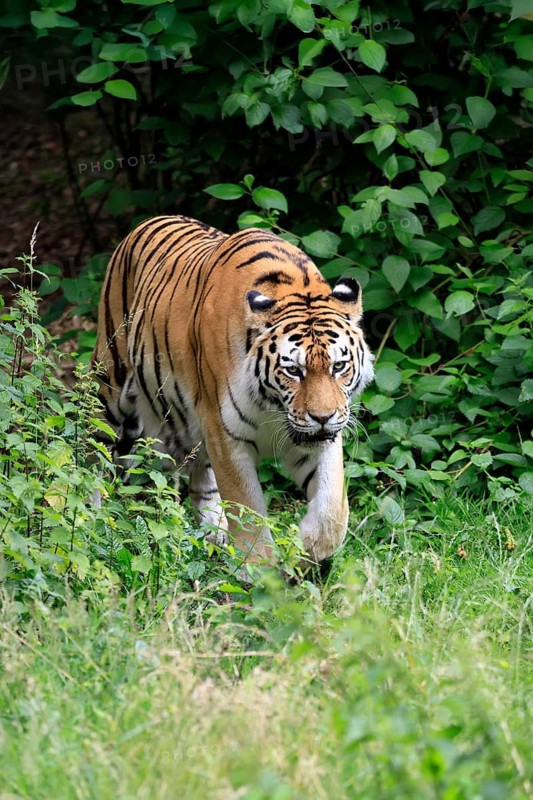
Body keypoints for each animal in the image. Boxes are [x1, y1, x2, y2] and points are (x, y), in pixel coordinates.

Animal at [93, 215, 374, 567]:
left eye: (338, 366)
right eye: (293, 371)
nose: (322, 417)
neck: (273, 408)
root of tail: (148, 221)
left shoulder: (320, 439)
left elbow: (332, 509)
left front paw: (306, 547)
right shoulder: (225, 436)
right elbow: (247, 507)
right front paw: (261, 569)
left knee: (200, 483)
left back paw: (215, 536)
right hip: (110, 387)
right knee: (93, 452)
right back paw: (89, 515)